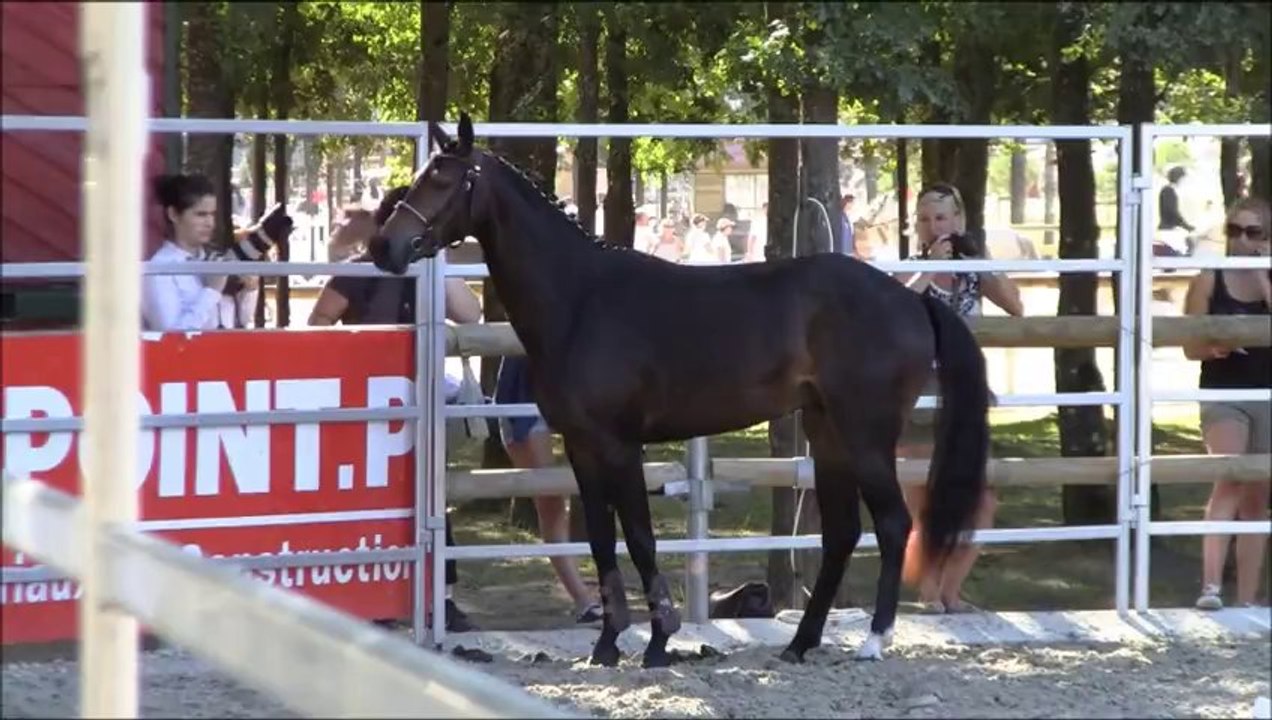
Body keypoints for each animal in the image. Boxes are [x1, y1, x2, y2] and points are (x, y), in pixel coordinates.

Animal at [369, 114, 991, 669]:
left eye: (443, 179)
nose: (384, 247)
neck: (581, 300)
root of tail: (910, 299)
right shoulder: (582, 448)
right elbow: (601, 540)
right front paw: (606, 646)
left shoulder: (620, 446)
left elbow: (640, 538)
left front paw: (658, 642)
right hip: (826, 433)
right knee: (842, 534)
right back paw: (799, 645)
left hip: (865, 434)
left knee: (893, 524)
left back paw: (873, 641)